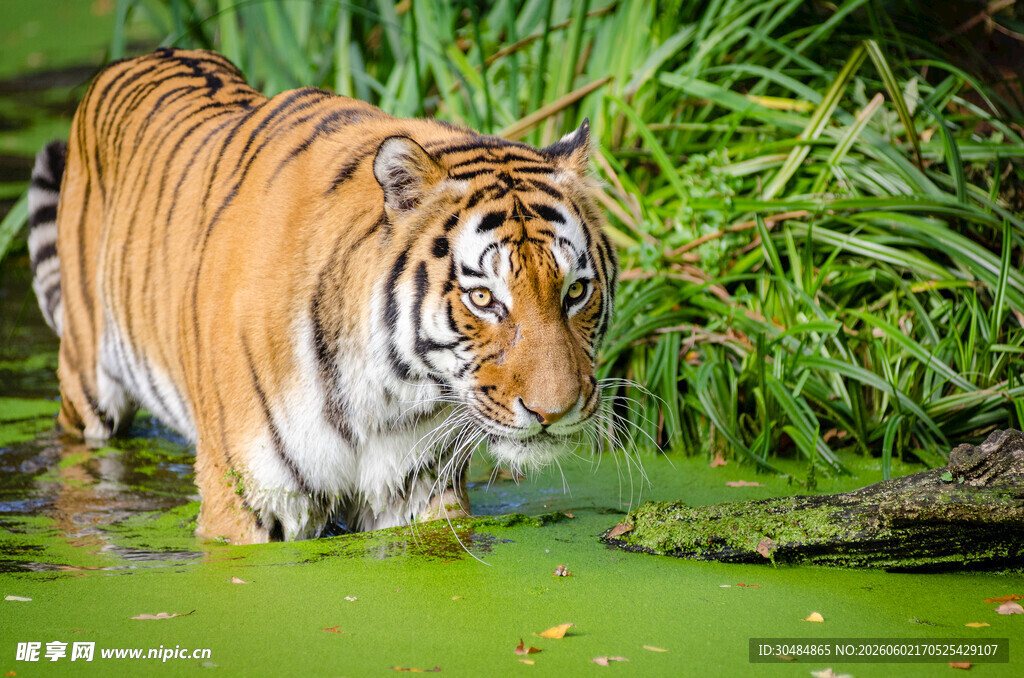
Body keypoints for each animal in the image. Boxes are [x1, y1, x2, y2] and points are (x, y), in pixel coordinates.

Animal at [26, 47, 617, 544]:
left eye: (576, 291)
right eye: (482, 299)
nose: (554, 412)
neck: (389, 396)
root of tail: (138, 57)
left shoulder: (417, 492)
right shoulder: (245, 499)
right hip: (87, 388)